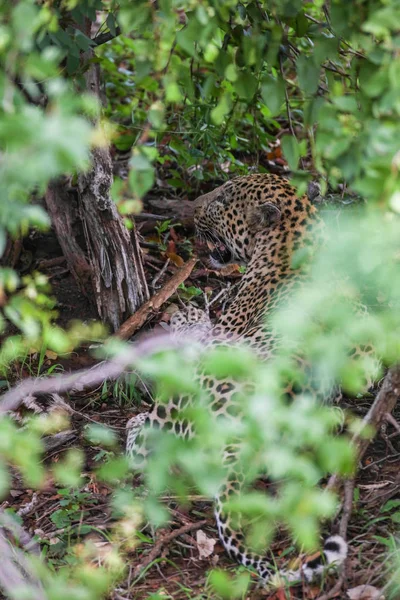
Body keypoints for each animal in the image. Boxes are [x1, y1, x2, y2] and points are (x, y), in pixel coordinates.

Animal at [126, 173, 348, 584]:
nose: (193, 208)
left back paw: (136, 421)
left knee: (148, 445)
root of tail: (244, 443)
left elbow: (197, 333)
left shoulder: (223, 333)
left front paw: (187, 315)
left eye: (223, 200)